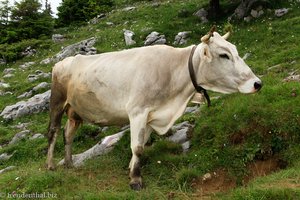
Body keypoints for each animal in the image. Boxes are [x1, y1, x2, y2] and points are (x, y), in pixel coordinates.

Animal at [45, 27, 262, 191]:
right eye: (224, 55)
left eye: (235, 50)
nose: (257, 83)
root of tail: (62, 62)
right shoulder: (137, 111)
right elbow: (138, 147)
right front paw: (135, 180)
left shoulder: (152, 114)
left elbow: (141, 144)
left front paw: (131, 169)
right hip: (57, 102)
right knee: (53, 132)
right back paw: (50, 165)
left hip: (75, 111)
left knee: (68, 133)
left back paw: (69, 163)